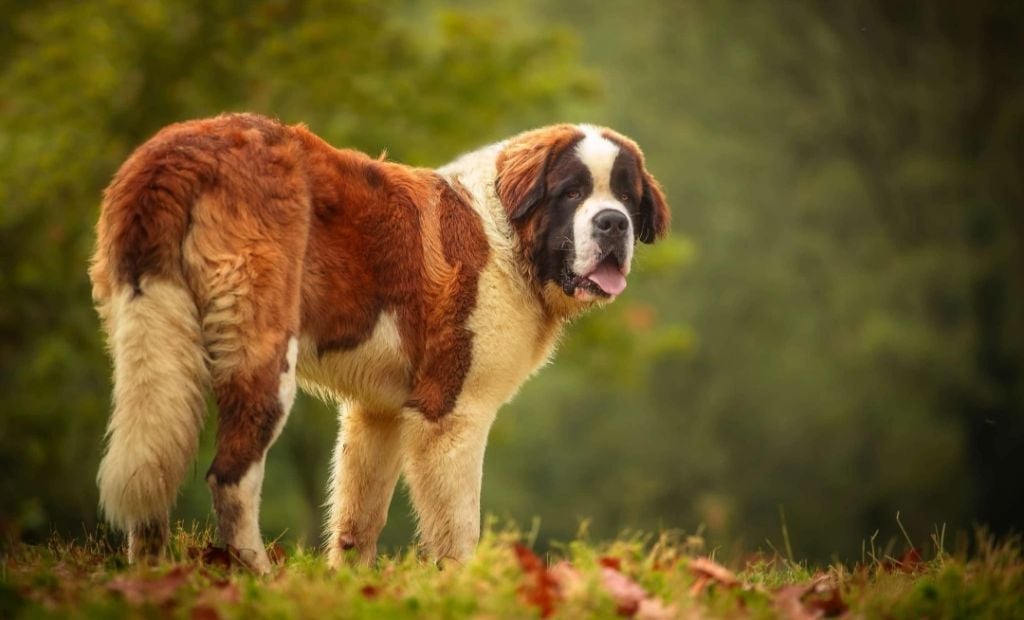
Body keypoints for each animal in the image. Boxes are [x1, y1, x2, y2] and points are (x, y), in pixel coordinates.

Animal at [90, 112, 671, 569]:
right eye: (571, 192)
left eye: (626, 196)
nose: (613, 223)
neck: (507, 235)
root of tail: (183, 146)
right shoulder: (452, 413)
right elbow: (460, 526)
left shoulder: (378, 413)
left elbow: (359, 515)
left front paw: (350, 585)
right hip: (266, 356)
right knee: (230, 476)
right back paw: (257, 576)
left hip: (150, 331)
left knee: (151, 462)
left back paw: (152, 574)